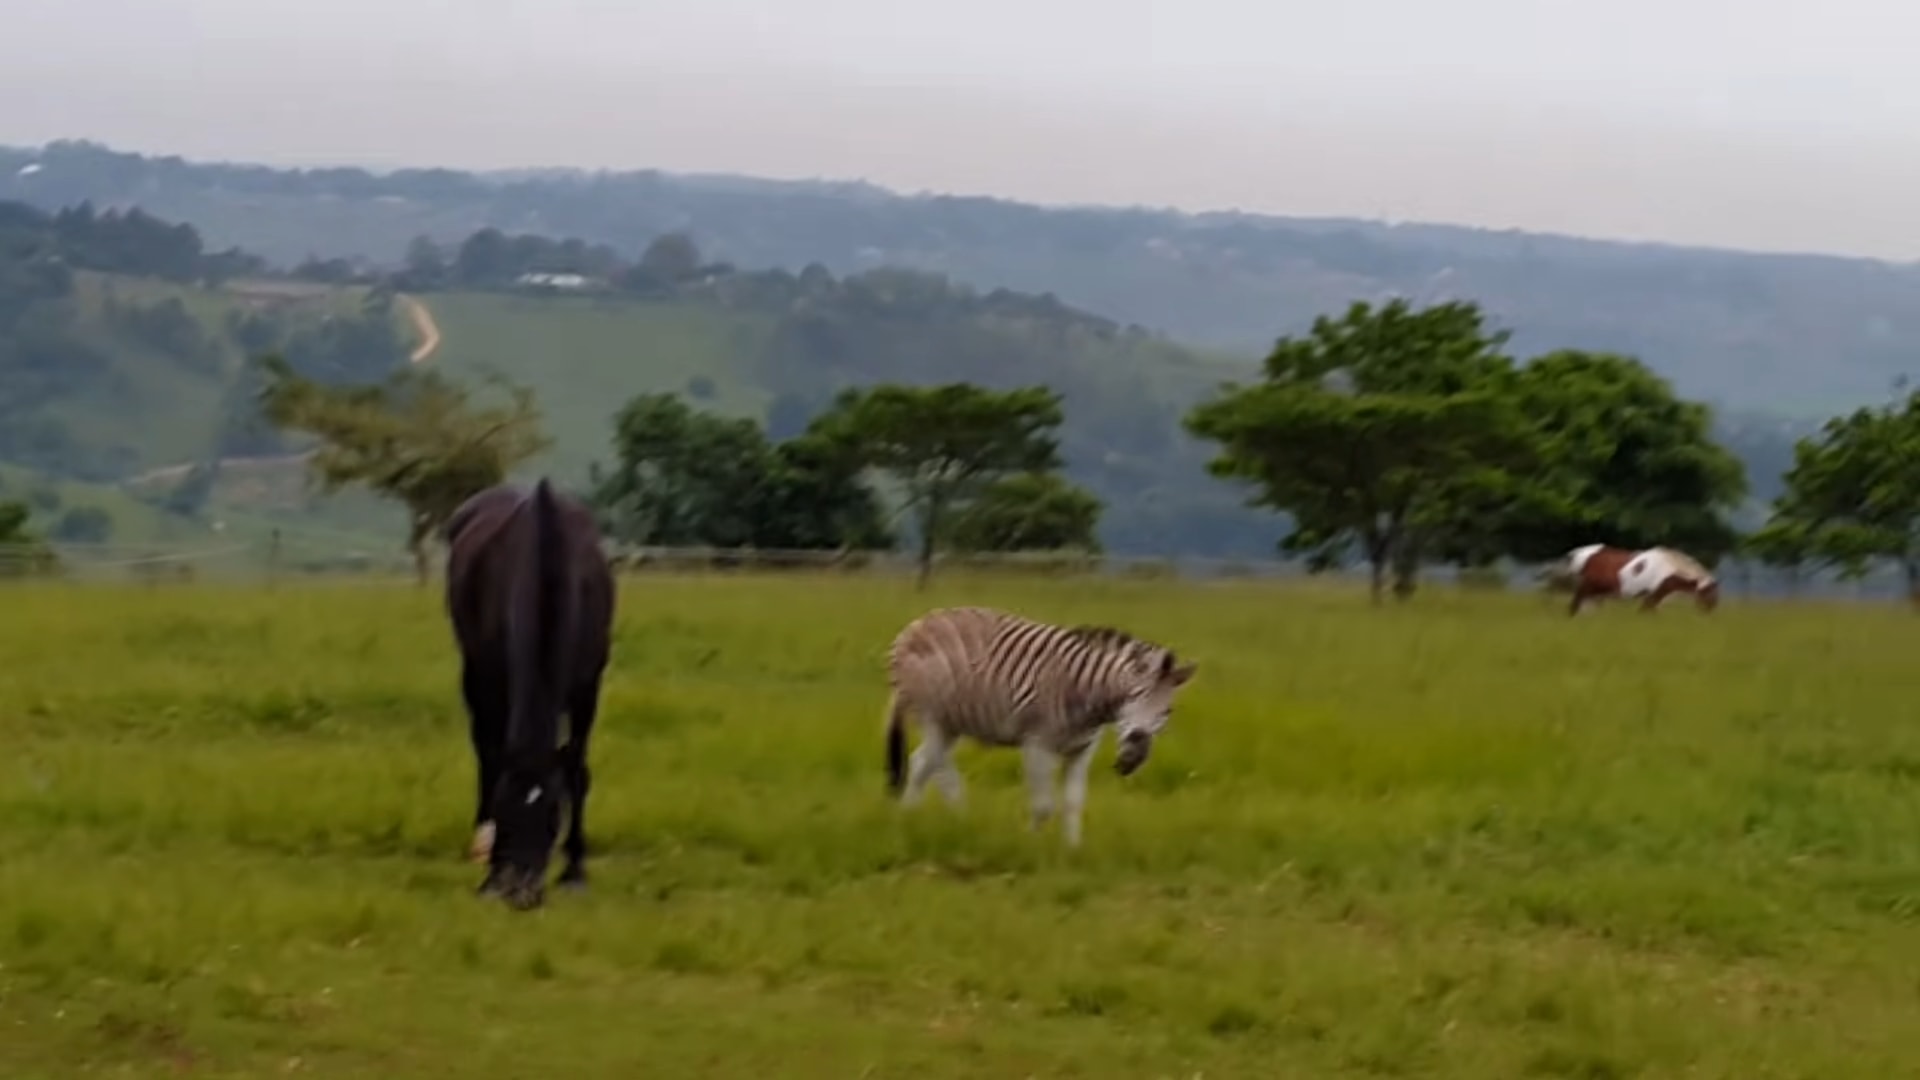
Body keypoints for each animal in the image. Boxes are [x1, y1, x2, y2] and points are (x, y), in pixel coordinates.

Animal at [439, 474, 610, 903]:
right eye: (505, 810)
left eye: (553, 815)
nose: (517, 891)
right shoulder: (494, 676)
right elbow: (493, 759)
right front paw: (489, 866)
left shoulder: (589, 685)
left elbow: (577, 769)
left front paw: (575, 869)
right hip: (474, 673)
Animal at [883, 607, 1198, 841]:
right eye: (1135, 695)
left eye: (1167, 710)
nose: (1133, 757)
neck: (1086, 694)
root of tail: (914, 627)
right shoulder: (1036, 744)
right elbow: (1044, 806)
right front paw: (1032, 844)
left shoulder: (1082, 750)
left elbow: (1073, 804)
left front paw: (1072, 851)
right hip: (933, 715)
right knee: (938, 766)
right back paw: (959, 816)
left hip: (952, 724)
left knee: (921, 762)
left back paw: (909, 818)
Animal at [1543, 541, 1728, 611]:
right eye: (1709, 595)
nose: (1709, 613)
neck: (1671, 569)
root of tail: (1577, 553)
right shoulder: (1653, 595)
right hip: (1586, 589)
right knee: (1574, 607)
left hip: (1595, 594)